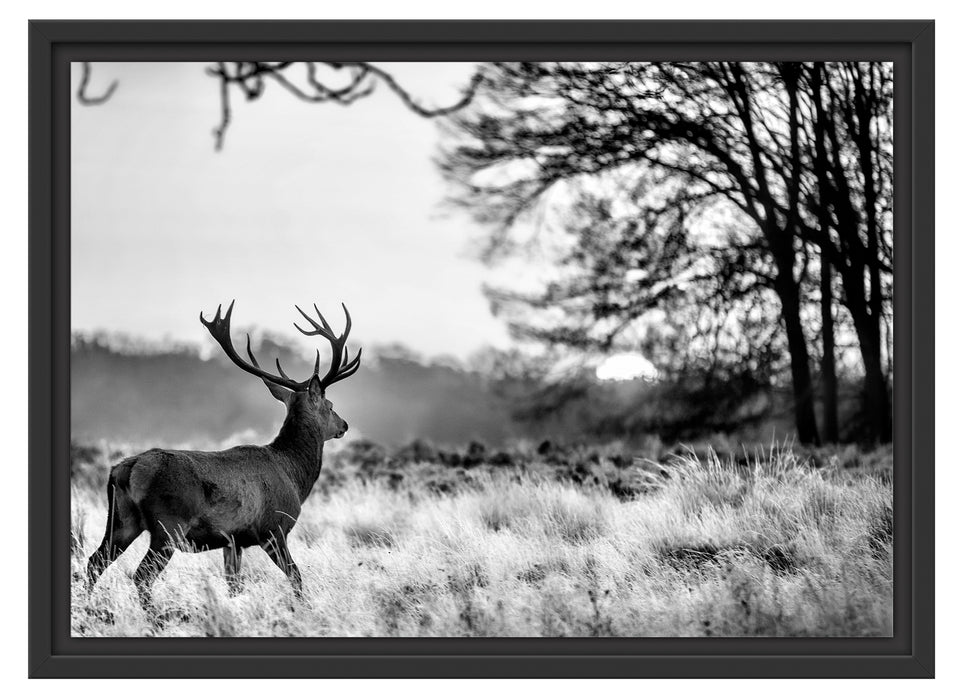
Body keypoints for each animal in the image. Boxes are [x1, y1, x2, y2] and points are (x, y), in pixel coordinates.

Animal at [84, 300, 362, 612]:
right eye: (330, 405)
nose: (344, 425)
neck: (293, 474)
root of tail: (125, 469)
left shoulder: (233, 541)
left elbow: (234, 585)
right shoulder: (274, 530)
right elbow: (296, 577)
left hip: (121, 521)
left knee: (94, 562)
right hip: (168, 525)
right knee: (141, 575)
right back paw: (153, 616)